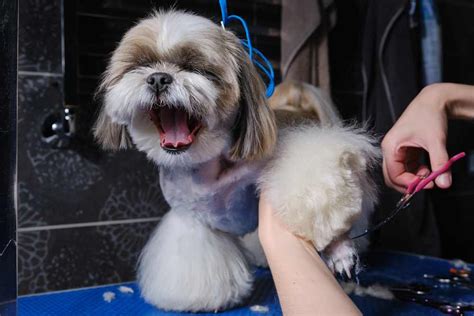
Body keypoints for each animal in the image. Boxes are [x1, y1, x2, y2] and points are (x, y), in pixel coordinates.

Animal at [94, 10, 380, 314]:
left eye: (196, 67)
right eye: (141, 64)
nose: (158, 78)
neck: (207, 166)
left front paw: (338, 248)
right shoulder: (192, 219)